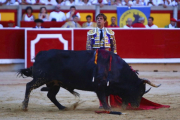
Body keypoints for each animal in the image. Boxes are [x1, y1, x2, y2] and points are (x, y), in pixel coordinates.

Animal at [19, 49, 160, 111]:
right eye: (139, 91)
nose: (136, 105)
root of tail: (39, 54)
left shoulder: (110, 88)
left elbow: (111, 97)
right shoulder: (99, 86)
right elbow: (103, 97)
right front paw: (108, 109)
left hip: (55, 83)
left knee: (51, 95)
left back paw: (63, 107)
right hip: (41, 78)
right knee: (28, 86)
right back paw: (25, 106)